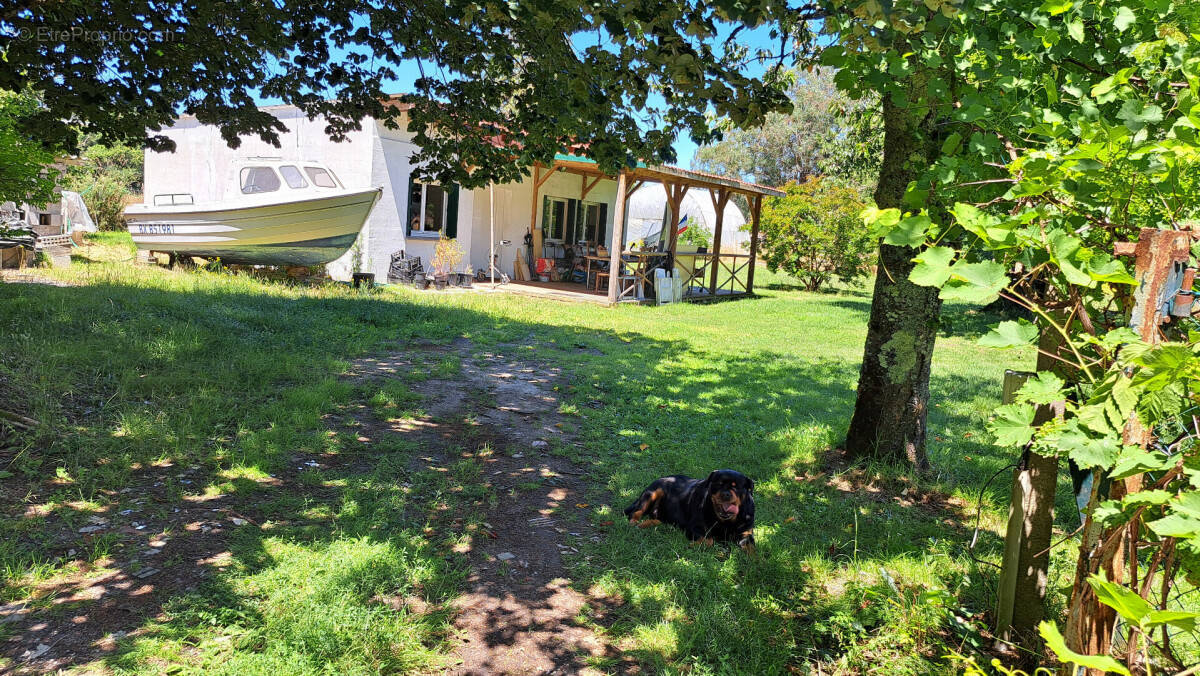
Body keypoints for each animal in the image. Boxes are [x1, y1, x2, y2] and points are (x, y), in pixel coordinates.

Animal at [624, 470, 753, 554]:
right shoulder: (694, 527)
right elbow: (709, 540)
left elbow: (752, 551)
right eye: (719, 484)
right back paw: (634, 523)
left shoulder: (747, 534)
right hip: (653, 492)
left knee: (657, 520)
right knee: (635, 512)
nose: (726, 494)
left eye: (736, 487)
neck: (726, 521)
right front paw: (693, 545)